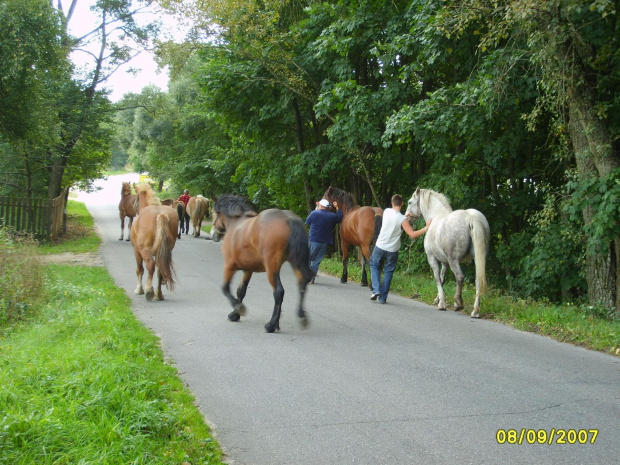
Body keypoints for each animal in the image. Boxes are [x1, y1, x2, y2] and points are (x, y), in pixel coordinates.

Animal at [209, 194, 314, 332]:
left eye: (212, 213)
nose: (213, 235)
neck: (235, 224)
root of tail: (288, 219)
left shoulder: (229, 266)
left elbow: (225, 288)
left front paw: (239, 308)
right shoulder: (248, 270)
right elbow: (241, 291)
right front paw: (235, 314)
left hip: (271, 267)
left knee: (278, 292)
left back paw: (271, 324)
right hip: (294, 262)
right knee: (301, 283)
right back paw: (300, 317)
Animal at [406, 187, 490, 318]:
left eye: (410, 202)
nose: (407, 218)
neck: (436, 216)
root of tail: (470, 216)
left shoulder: (432, 259)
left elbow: (437, 279)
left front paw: (442, 304)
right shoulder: (444, 262)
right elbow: (442, 279)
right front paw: (438, 300)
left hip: (453, 260)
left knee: (460, 277)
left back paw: (458, 303)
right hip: (478, 259)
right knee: (478, 281)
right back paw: (475, 311)